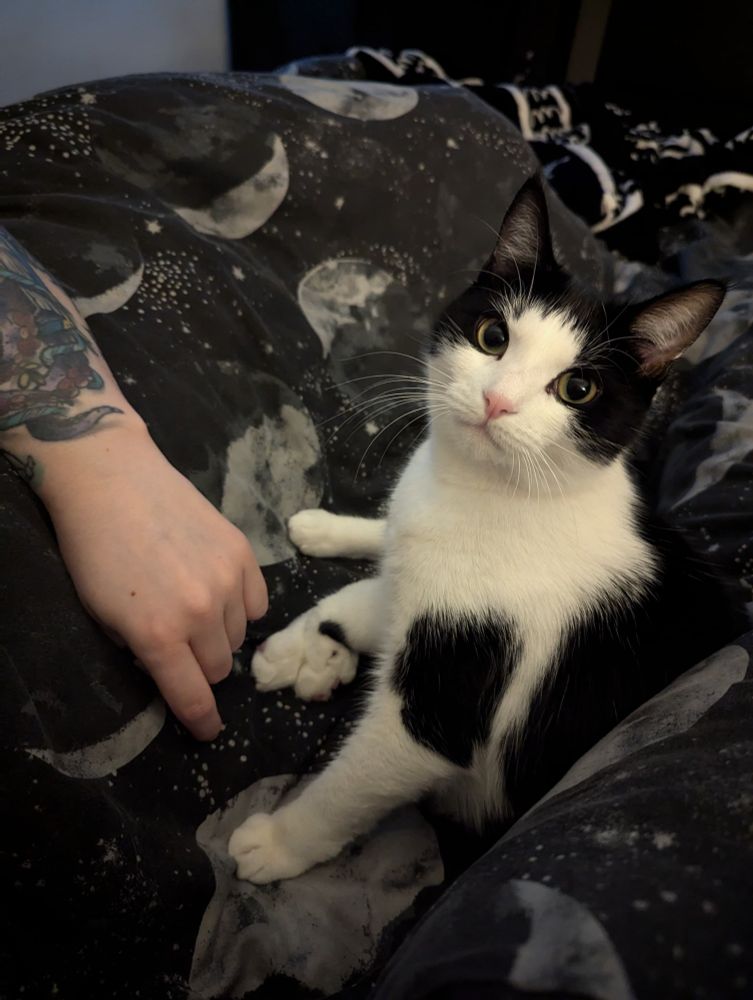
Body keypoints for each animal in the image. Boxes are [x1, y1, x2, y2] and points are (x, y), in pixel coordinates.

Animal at [229, 175, 745, 883]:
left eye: (578, 389)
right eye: (493, 335)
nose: (497, 401)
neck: (485, 494)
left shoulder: (449, 696)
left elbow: (359, 780)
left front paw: (279, 842)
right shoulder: (428, 588)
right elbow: (373, 589)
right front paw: (303, 642)